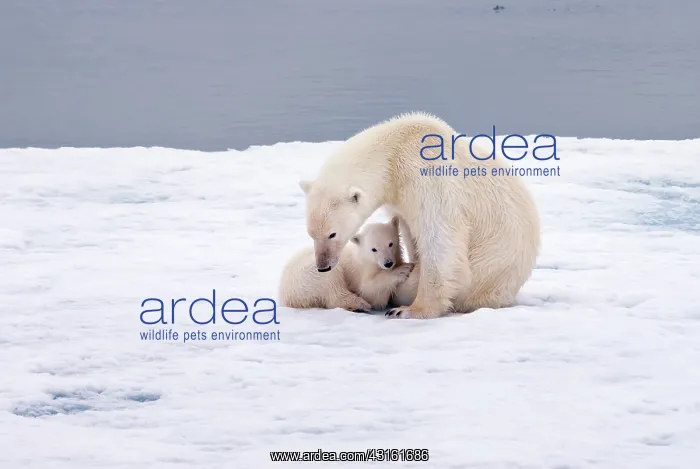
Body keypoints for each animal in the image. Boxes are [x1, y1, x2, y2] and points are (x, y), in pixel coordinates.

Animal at [278, 217, 415, 312]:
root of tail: (285, 296)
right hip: (309, 275)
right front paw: (403, 270)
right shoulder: (359, 271)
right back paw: (359, 304)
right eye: (374, 249)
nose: (388, 263)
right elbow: (369, 291)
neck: (363, 257)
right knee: (333, 286)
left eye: (390, 244)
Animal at [298, 112, 541, 319]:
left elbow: (439, 239)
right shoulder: (401, 199)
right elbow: (410, 233)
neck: (397, 149)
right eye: (311, 234)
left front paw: (410, 310)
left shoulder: (428, 176)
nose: (323, 266)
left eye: (332, 234)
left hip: (485, 275)